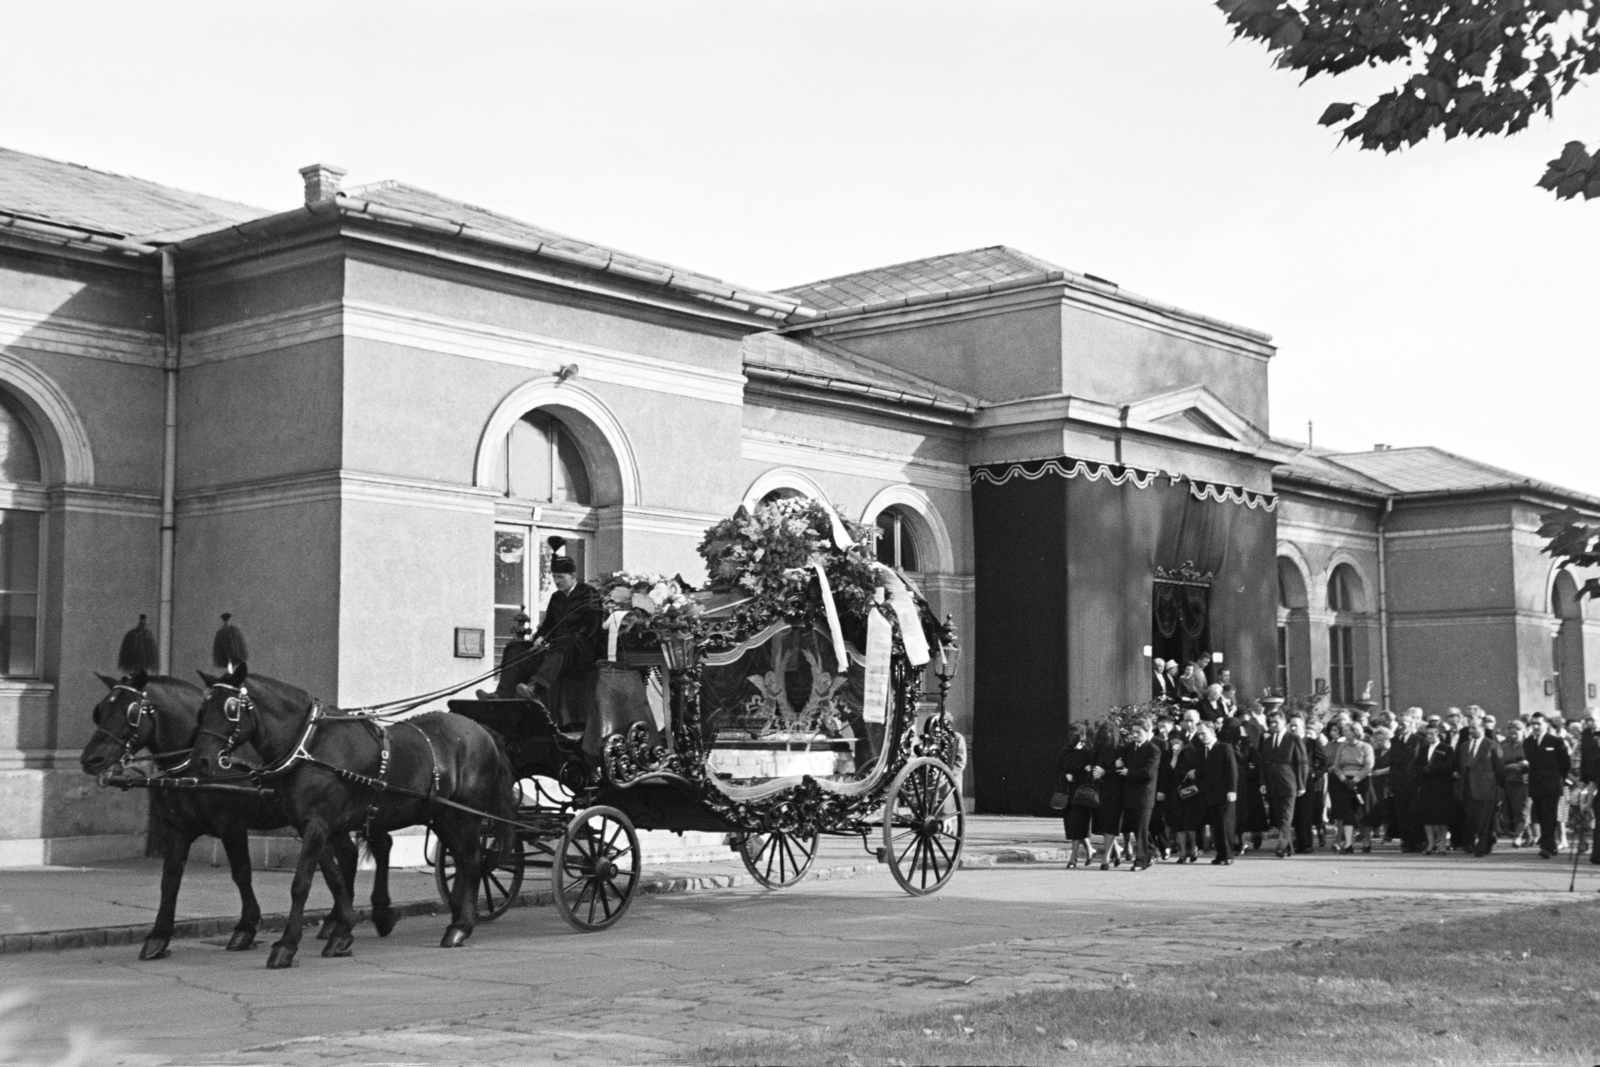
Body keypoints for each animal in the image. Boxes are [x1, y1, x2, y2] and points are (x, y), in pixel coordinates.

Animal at [78, 668, 403, 959]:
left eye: (131, 712)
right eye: (100, 710)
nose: (91, 759)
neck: (192, 765)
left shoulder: (231, 825)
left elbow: (241, 873)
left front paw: (246, 928)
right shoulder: (177, 829)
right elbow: (169, 880)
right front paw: (159, 936)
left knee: (378, 845)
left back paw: (375, 914)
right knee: (349, 855)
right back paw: (336, 922)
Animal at [188, 662, 515, 972]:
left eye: (231, 708)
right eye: (203, 709)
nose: (201, 760)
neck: (310, 746)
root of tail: (481, 730)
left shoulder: (317, 824)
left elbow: (302, 882)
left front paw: (287, 944)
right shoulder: (313, 826)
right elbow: (335, 878)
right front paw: (342, 931)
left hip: (466, 815)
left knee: (471, 861)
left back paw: (460, 927)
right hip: (444, 816)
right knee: (460, 860)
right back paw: (456, 917)